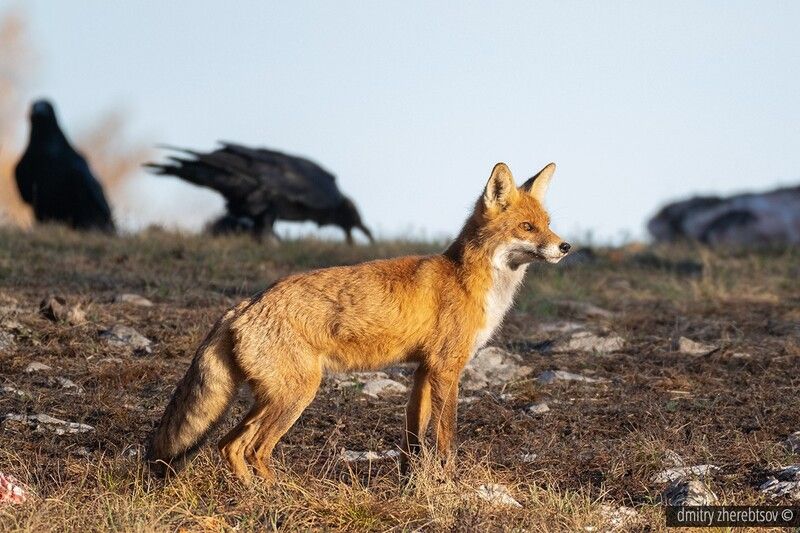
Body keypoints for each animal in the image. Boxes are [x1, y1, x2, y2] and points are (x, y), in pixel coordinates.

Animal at [147, 161, 571, 483]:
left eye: (549, 223)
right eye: (527, 227)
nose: (565, 246)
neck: (469, 281)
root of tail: (244, 305)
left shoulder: (423, 369)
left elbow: (414, 437)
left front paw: (410, 483)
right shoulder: (446, 368)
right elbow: (446, 436)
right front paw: (450, 480)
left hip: (271, 398)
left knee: (227, 444)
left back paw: (252, 492)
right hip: (296, 395)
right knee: (250, 448)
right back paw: (276, 493)